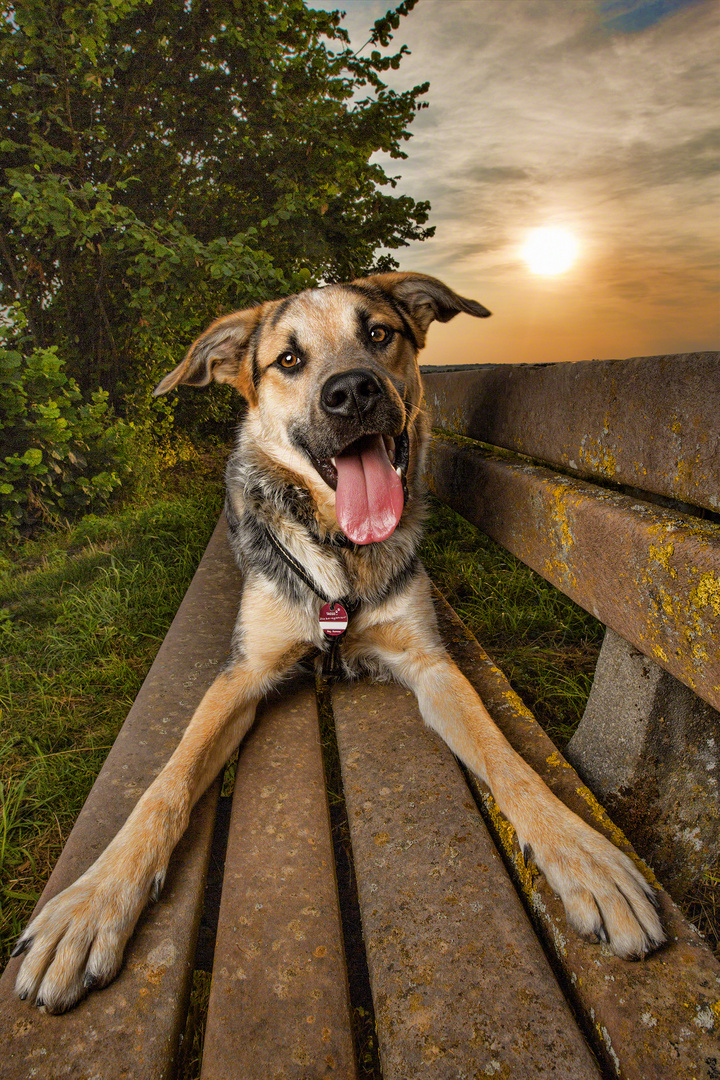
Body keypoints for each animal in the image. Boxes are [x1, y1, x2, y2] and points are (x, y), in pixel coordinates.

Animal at [12, 270, 664, 1010]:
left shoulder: (431, 662)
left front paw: (583, 854)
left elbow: (507, 760)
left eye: (378, 333)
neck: (341, 554)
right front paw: (92, 902)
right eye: (289, 359)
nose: (352, 391)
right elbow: (166, 783)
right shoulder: (243, 673)